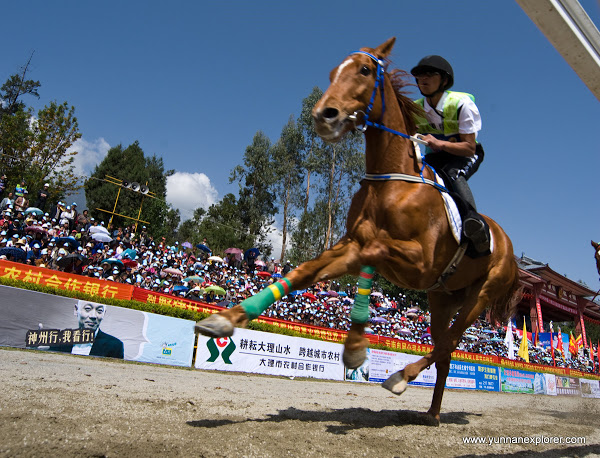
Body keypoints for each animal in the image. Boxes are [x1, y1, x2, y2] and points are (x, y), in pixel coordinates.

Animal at [196, 37, 520, 424]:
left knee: (447, 344)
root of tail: (513, 253)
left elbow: (373, 251)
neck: (391, 181)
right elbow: (306, 271)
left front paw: (353, 348)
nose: (324, 116)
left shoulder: (420, 261)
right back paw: (431, 413)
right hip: (441, 299)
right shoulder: (351, 245)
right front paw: (225, 319)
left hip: (480, 296)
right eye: (333, 72)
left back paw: (400, 377)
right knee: (445, 353)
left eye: (364, 70)